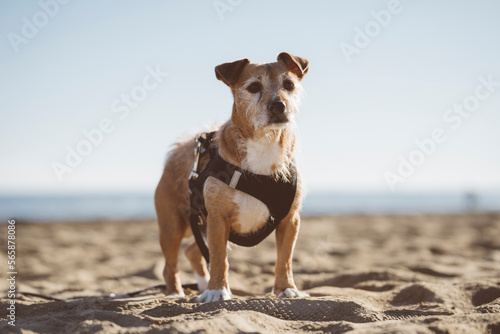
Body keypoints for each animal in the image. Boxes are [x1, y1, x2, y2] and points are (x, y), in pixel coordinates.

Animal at [154, 51, 308, 302]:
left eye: (289, 85)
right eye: (253, 87)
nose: (279, 105)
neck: (264, 143)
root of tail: (179, 150)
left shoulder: (290, 219)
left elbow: (284, 259)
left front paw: (286, 288)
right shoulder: (218, 219)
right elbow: (219, 259)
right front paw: (217, 290)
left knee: (192, 251)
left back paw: (202, 283)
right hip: (174, 226)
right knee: (171, 264)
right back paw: (176, 293)